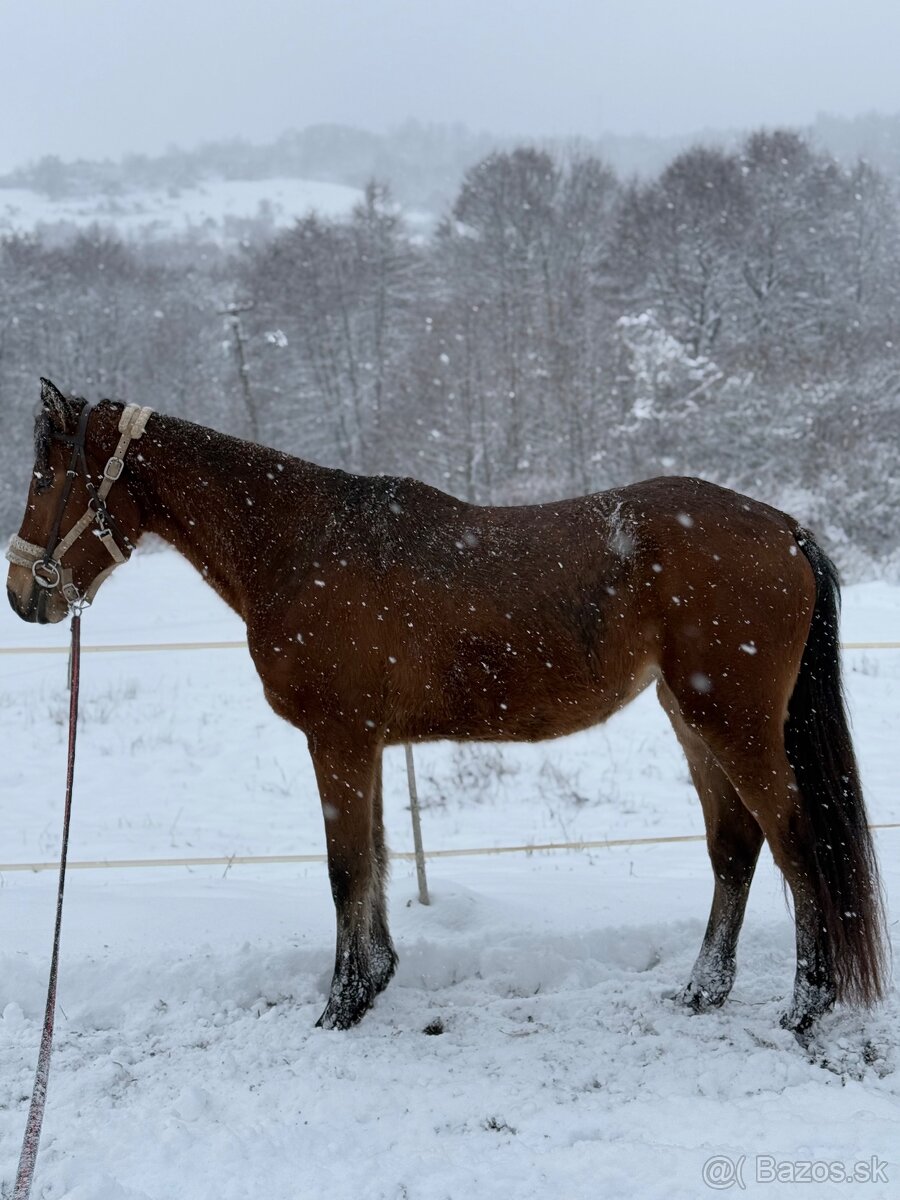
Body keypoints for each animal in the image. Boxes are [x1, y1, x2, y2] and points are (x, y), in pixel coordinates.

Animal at [5, 381, 888, 1032]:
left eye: (44, 478)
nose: (21, 595)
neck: (301, 543)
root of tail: (784, 527)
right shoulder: (365, 742)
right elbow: (376, 858)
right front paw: (374, 981)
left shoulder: (338, 740)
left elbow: (347, 867)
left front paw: (341, 1006)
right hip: (691, 717)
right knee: (734, 845)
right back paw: (705, 990)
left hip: (735, 725)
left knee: (796, 842)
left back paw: (806, 1005)